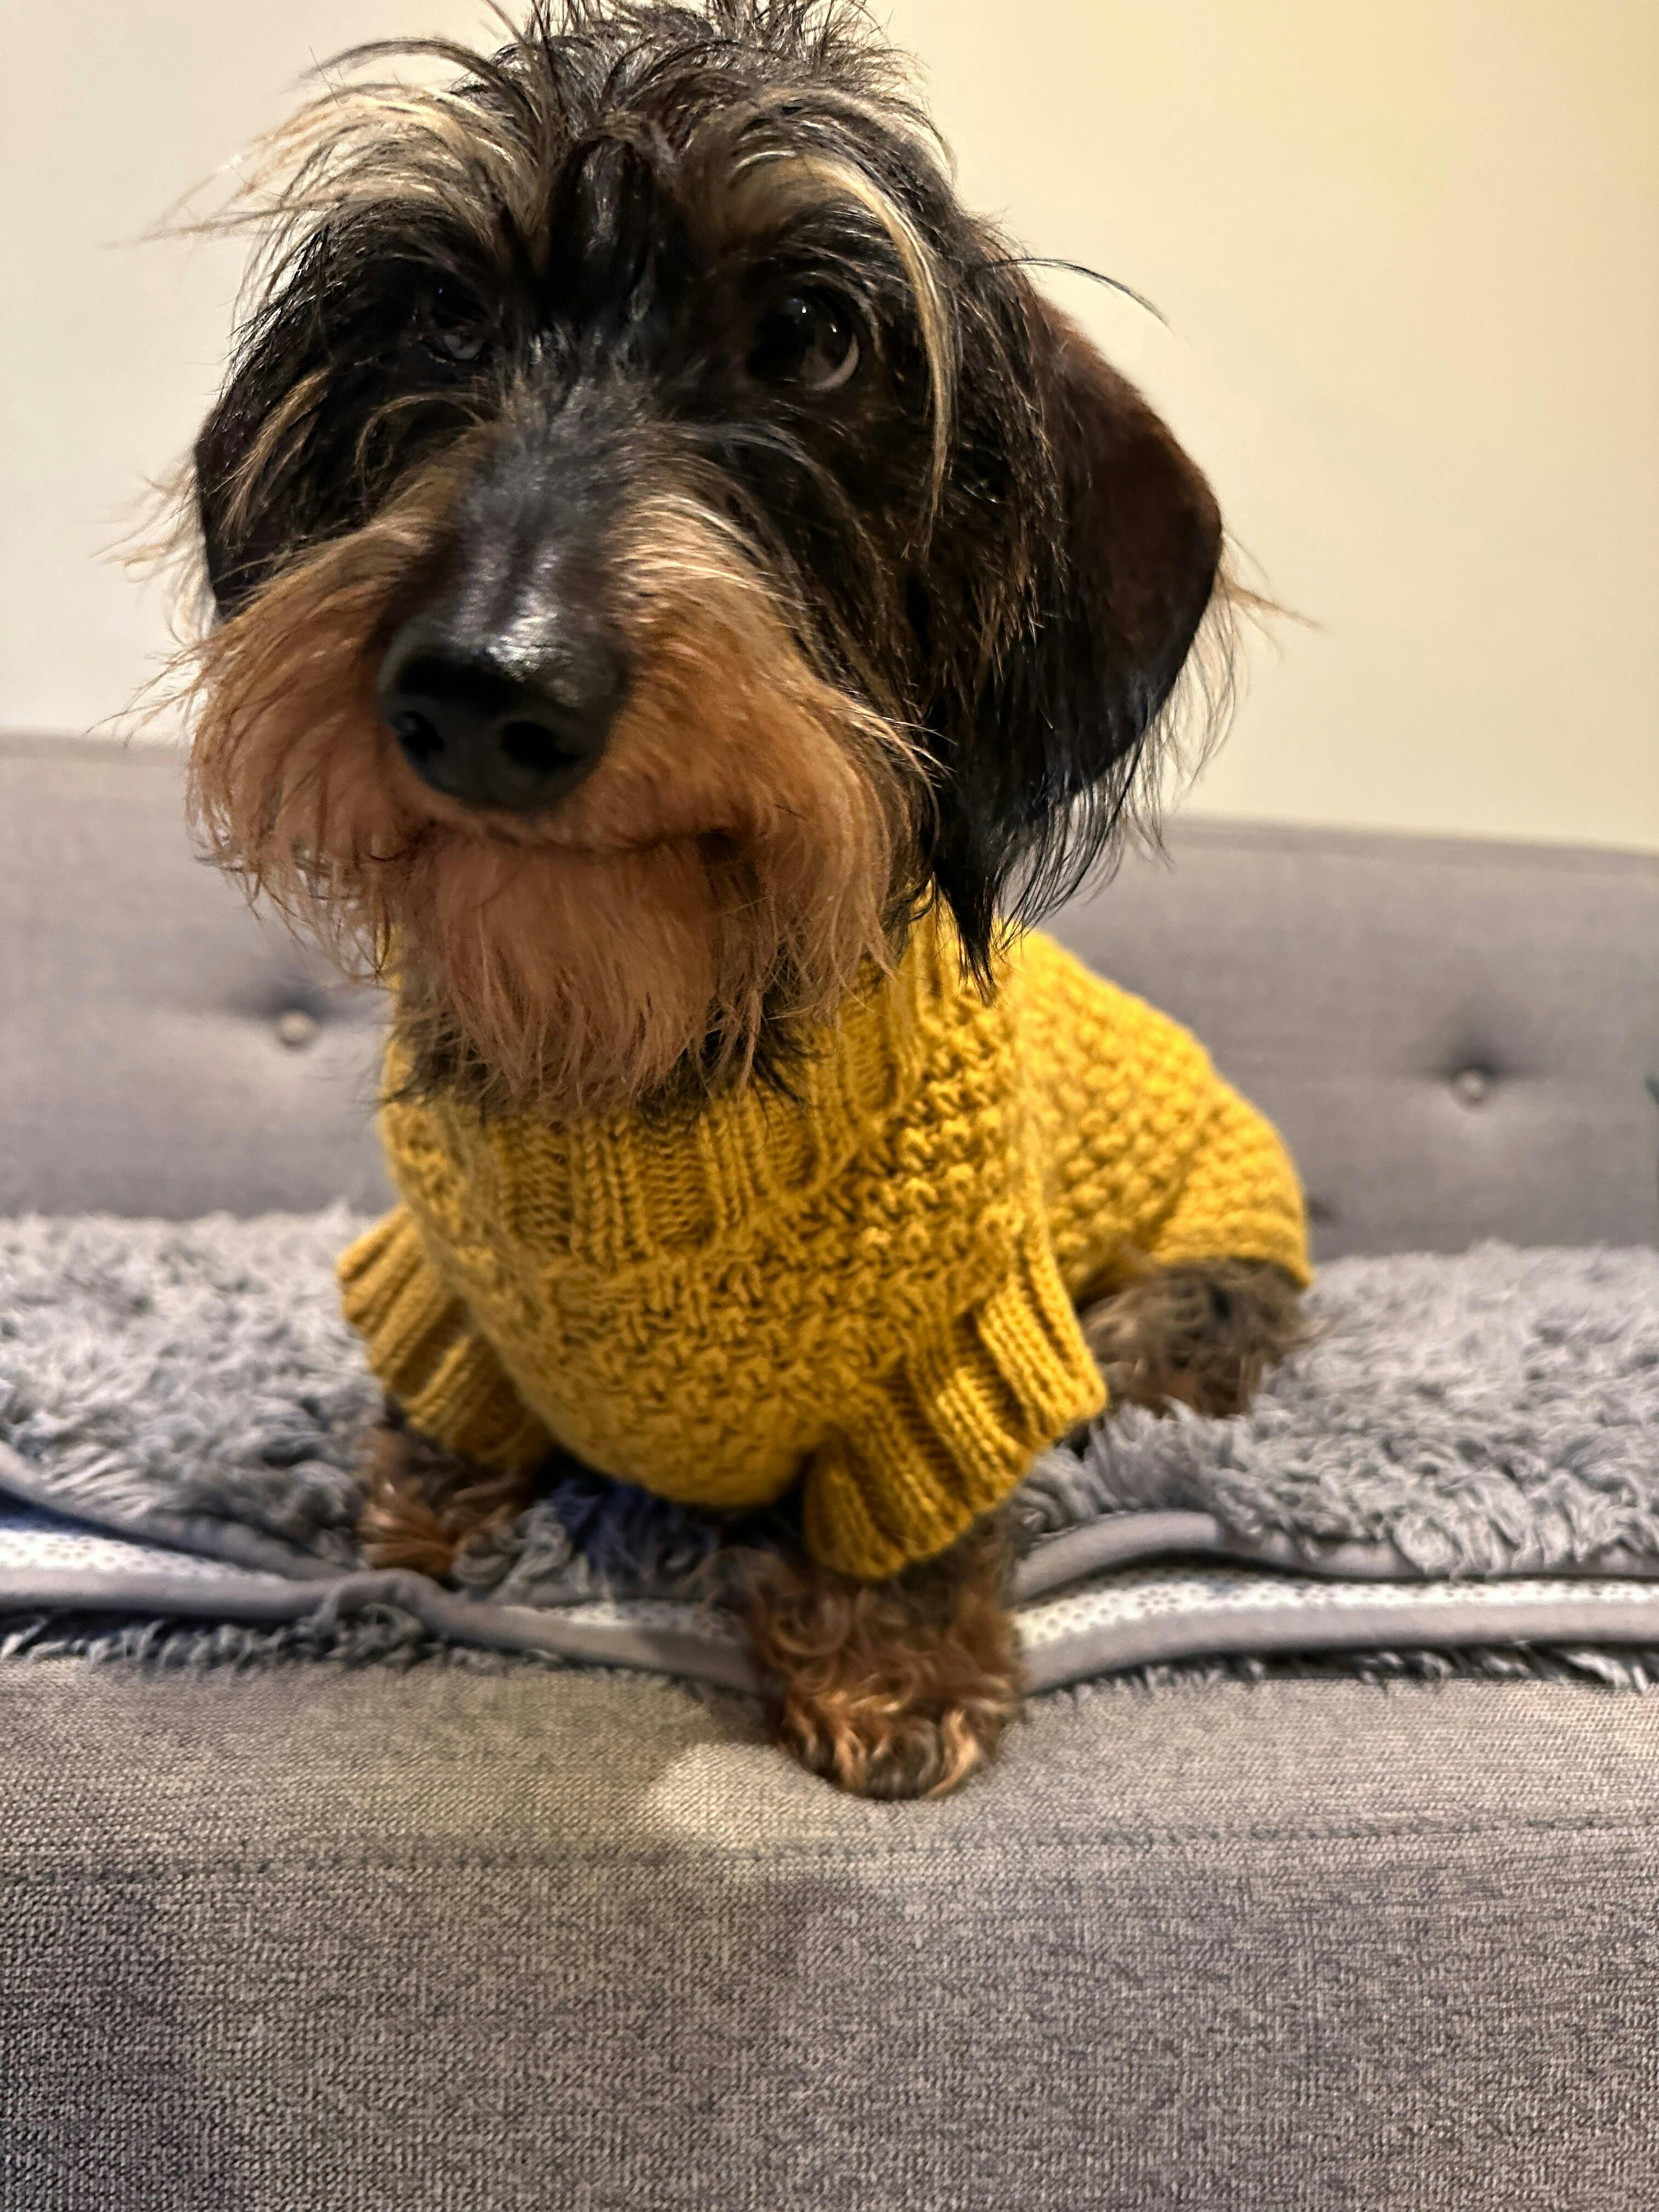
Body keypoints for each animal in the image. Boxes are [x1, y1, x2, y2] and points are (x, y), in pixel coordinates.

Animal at [169, 0, 1310, 1800]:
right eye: (436, 310)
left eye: (814, 337)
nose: (484, 688)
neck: (642, 1072)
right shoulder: (445, 1303)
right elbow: (436, 1434)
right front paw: (398, 1530)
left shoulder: (951, 1359)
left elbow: (904, 1530)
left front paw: (894, 1671)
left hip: (1199, 1279)